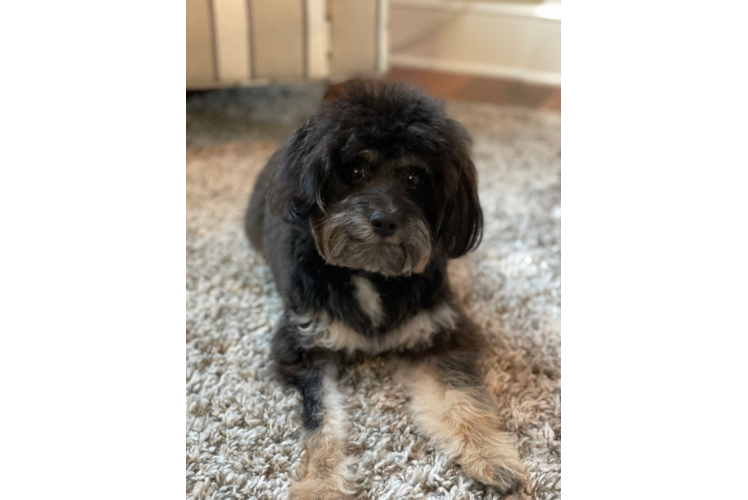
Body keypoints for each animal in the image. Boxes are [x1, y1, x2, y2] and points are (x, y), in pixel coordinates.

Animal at [245, 83, 524, 500]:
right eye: (354, 170)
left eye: (415, 177)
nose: (385, 220)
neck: (370, 273)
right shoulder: (305, 348)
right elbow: (322, 421)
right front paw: (323, 482)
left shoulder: (441, 335)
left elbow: (461, 396)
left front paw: (491, 455)